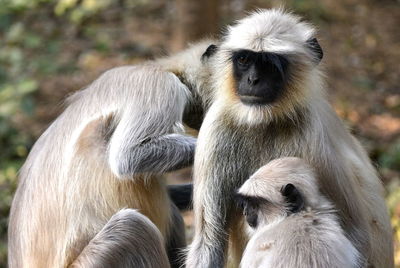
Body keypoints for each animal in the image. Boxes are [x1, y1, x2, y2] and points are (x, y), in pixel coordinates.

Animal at [186, 8, 392, 268]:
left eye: (269, 64)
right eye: (244, 60)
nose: (253, 80)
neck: (263, 122)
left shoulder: (313, 131)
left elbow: (357, 235)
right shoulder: (216, 126)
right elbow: (209, 241)